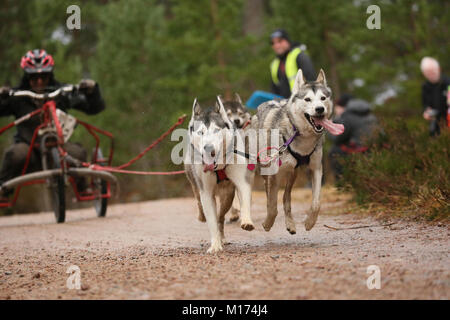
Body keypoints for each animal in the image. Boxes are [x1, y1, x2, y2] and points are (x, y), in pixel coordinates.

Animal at [183, 96, 253, 254]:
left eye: (216, 130)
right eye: (201, 132)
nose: (208, 148)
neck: (219, 166)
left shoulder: (241, 181)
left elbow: (244, 200)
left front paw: (246, 221)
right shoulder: (206, 193)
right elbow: (211, 221)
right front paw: (215, 245)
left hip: (227, 196)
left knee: (221, 217)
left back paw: (223, 236)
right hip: (195, 182)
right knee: (200, 202)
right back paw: (203, 217)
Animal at [251, 70, 342, 234]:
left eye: (323, 98)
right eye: (307, 99)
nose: (320, 109)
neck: (301, 137)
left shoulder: (316, 168)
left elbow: (316, 203)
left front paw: (310, 222)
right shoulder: (274, 174)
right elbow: (272, 206)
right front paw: (267, 223)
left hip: (293, 173)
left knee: (286, 198)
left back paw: (290, 224)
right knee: (269, 194)